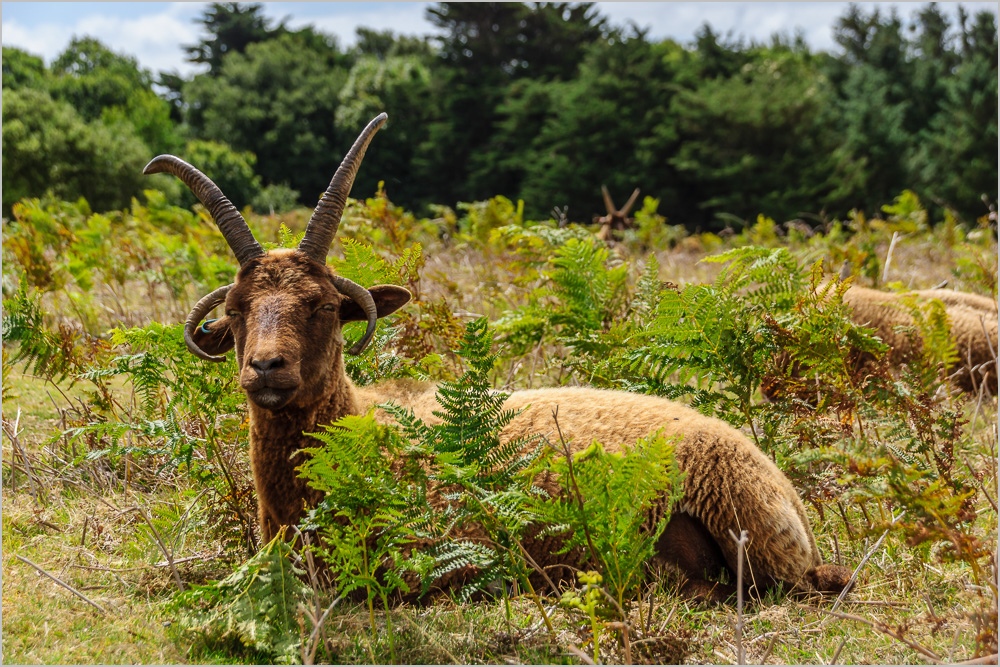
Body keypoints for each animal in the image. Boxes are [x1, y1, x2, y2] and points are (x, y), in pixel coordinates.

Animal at [148, 112, 852, 604]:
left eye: (322, 306)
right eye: (236, 311)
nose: (266, 369)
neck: (362, 424)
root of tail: (782, 485)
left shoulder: (448, 554)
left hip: (756, 533)